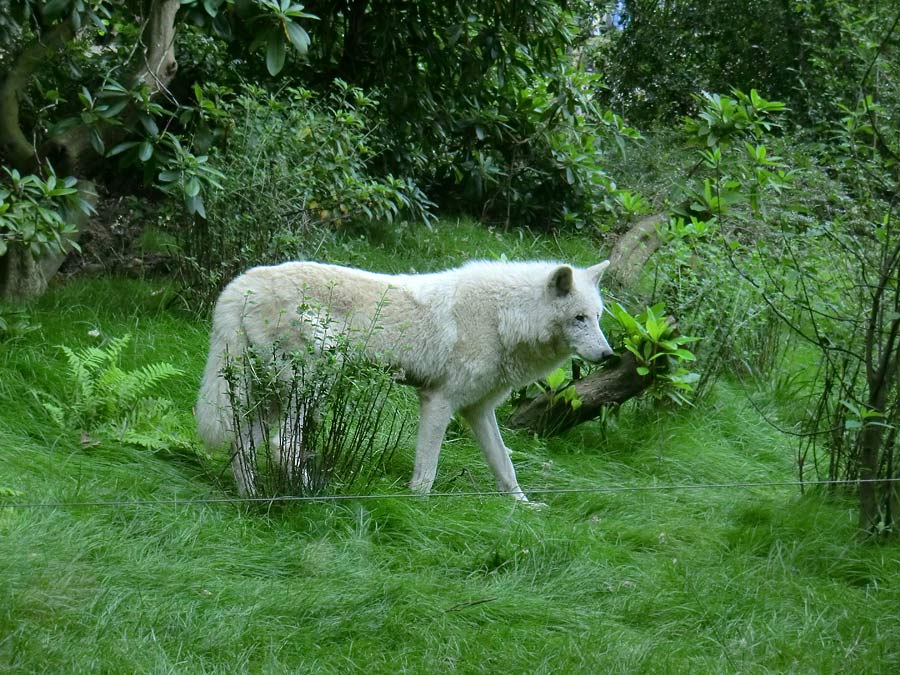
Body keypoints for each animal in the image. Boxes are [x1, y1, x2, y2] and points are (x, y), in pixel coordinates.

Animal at [197, 258, 616, 502]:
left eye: (596, 317)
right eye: (578, 318)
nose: (609, 355)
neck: (505, 317)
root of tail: (238, 285)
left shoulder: (478, 411)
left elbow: (504, 464)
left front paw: (523, 506)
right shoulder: (439, 401)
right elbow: (427, 470)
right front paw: (420, 506)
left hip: (271, 397)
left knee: (242, 443)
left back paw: (252, 496)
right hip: (314, 385)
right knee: (282, 444)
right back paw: (311, 493)